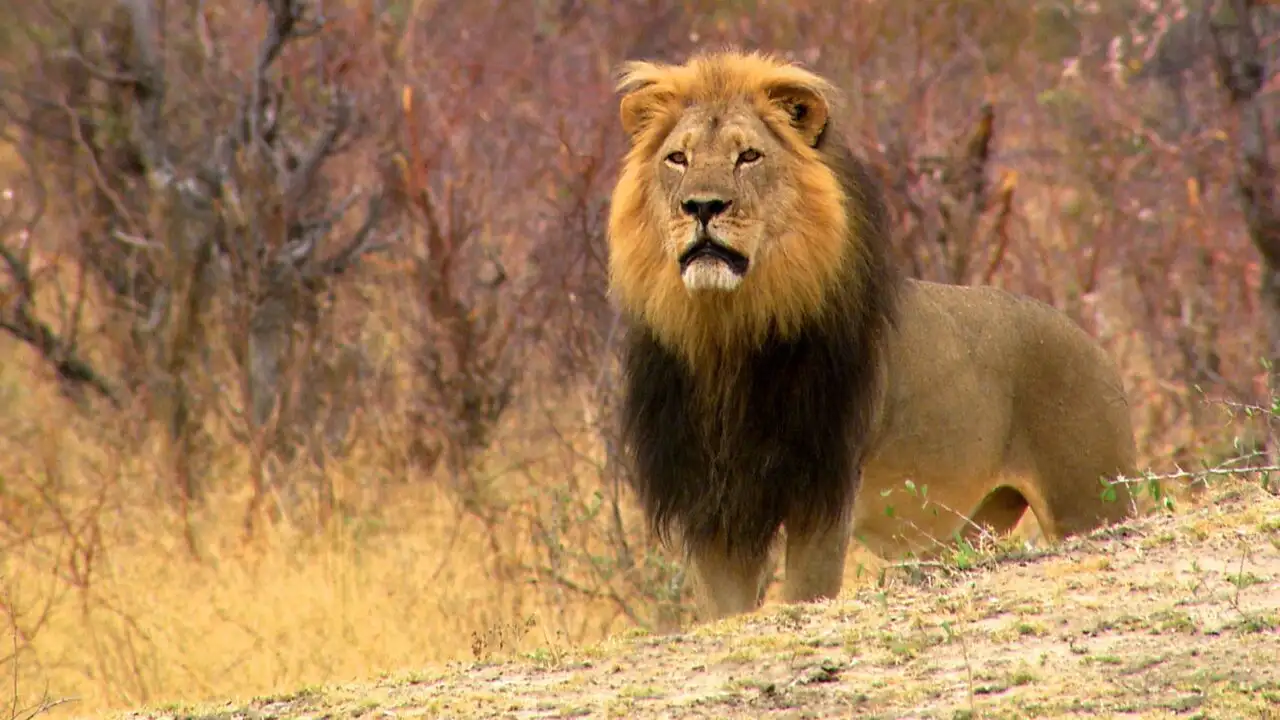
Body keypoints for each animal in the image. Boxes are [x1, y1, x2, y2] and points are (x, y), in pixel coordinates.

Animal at [606, 49, 1138, 622]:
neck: (725, 336)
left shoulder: (823, 497)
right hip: (974, 523)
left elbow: (806, 593)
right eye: (677, 159)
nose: (702, 207)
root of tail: (1093, 345)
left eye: (748, 156)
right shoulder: (712, 510)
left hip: (1092, 498)